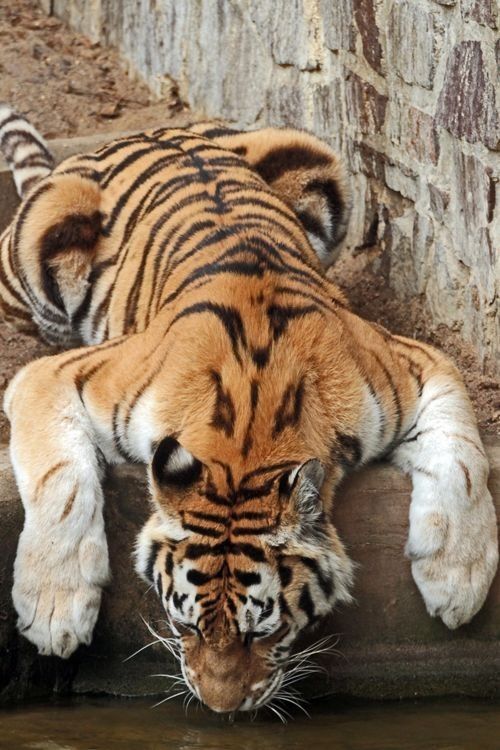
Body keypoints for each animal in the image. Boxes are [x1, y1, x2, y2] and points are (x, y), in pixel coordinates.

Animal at [0, 103, 496, 712]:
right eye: (184, 625)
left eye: (264, 631)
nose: (220, 708)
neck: (247, 430)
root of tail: (155, 130)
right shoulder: (58, 376)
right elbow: (61, 482)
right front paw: (55, 610)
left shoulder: (418, 364)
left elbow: (465, 460)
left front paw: (458, 580)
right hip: (41, 239)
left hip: (315, 157)